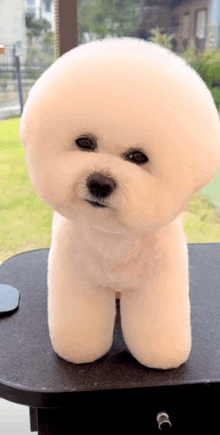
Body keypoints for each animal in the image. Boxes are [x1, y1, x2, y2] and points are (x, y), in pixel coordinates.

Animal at [19, 38, 220, 372]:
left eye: (138, 157)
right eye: (84, 142)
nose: (100, 183)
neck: (113, 240)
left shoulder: (158, 282)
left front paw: (162, 355)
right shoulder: (76, 278)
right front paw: (79, 351)